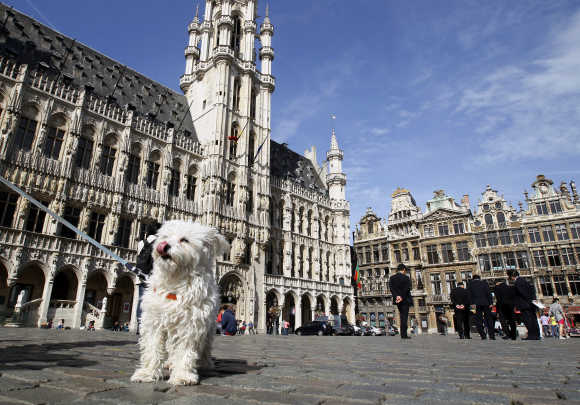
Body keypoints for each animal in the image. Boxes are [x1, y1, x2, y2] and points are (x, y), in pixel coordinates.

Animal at [131, 219, 229, 384]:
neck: (174, 281)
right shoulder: (154, 322)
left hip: (208, 329)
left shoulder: (191, 324)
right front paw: (147, 373)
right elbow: (152, 348)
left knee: (205, 348)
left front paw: (183, 375)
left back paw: (205, 364)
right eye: (165, 236)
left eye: (184, 239)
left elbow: (185, 351)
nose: (163, 245)